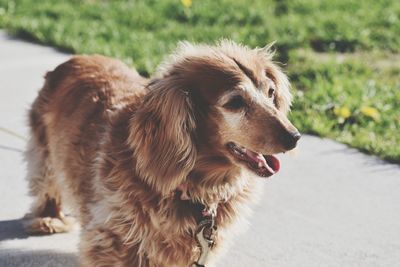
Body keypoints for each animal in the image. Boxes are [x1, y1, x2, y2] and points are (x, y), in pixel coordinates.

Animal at [23, 40, 300, 266]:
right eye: (234, 102)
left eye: (271, 93)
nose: (294, 137)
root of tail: (72, 59)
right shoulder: (114, 242)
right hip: (45, 152)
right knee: (47, 184)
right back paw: (49, 218)